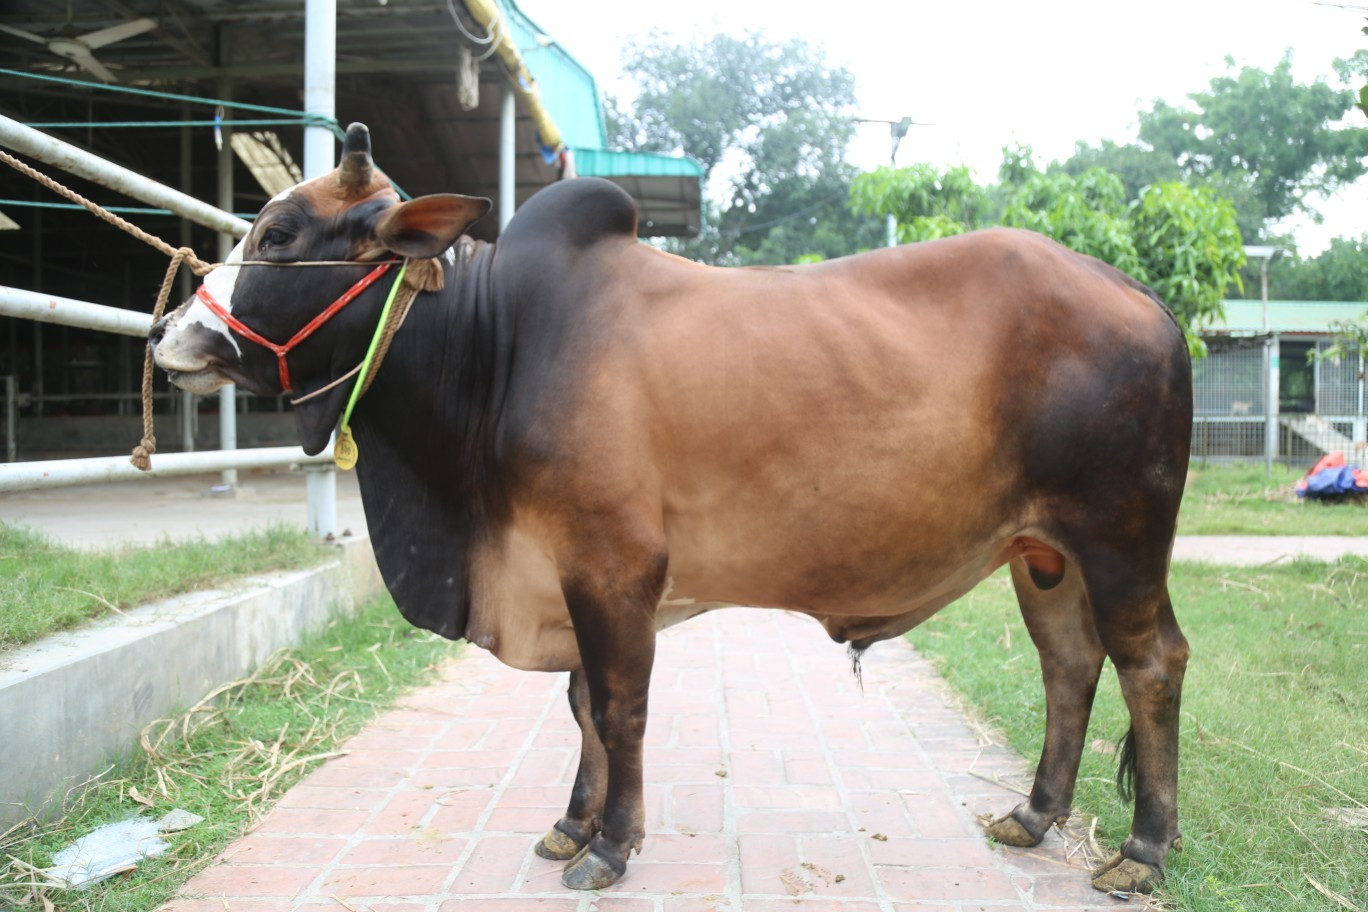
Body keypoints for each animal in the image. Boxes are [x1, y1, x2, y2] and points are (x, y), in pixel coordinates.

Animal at [151, 123, 1192, 896]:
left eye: (279, 235)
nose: (168, 331)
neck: (499, 345)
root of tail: (1142, 296)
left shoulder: (613, 567)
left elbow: (618, 706)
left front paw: (612, 844)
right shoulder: (564, 565)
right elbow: (580, 703)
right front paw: (571, 825)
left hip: (1121, 536)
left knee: (1150, 664)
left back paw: (1141, 853)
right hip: (1042, 552)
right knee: (1068, 662)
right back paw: (1033, 816)